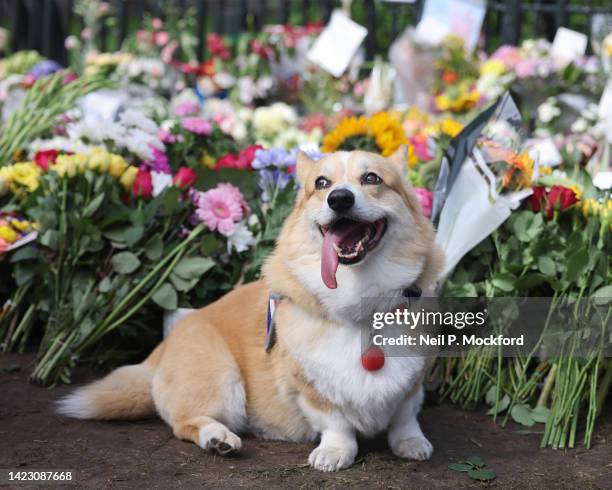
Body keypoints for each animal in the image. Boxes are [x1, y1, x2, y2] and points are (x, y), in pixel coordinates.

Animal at [57, 147, 442, 472]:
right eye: (322, 184)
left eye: (372, 178)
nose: (339, 198)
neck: (360, 297)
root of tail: (162, 348)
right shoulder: (309, 385)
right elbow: (336, 422)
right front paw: (334, 452)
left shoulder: (412, 383)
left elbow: (404, 416)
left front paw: (412, 443)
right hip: (222, 378)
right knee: (184, 423)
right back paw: (218, 438)